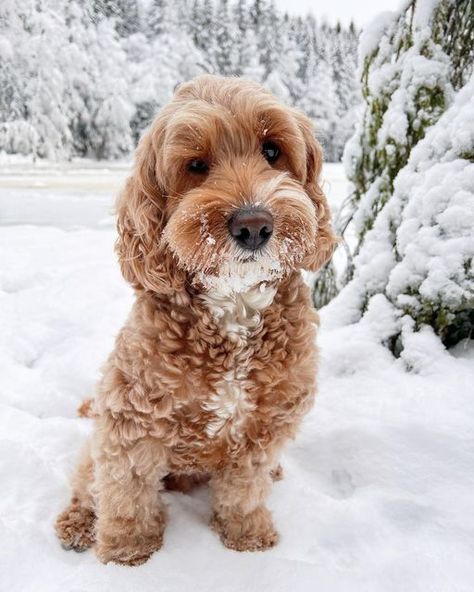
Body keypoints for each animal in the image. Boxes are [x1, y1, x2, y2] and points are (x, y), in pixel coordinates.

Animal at [55, 74, 336, 564]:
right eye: (196, 164)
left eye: (272, 150)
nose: (253, 225)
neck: (236, 305)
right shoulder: (130, 417)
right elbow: (126, 489)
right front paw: (127, 551)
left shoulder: (263, 425)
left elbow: (244, 487)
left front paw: (247, 535)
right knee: (88, 482)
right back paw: (77, 522)